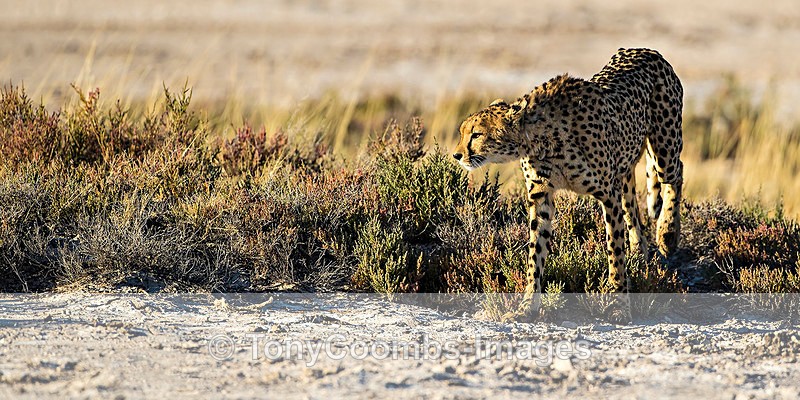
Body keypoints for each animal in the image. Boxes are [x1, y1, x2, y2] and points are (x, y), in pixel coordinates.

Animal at [453, 48, 683, 321]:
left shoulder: (608, 196)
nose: (457, 155)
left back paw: (667, 235)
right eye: (462, 132)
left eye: (476, 134)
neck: (540, 137)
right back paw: (640, 251)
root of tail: (647, 50)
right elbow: (535, 253)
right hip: (626, 166)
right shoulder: (541, 197)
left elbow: (614, 251)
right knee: (632, 203)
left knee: (676, 173)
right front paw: (527, 305)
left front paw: (618, 303)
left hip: (664, 149)